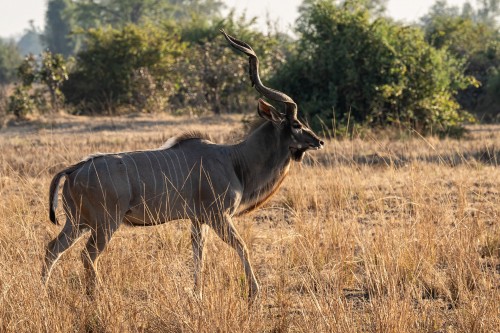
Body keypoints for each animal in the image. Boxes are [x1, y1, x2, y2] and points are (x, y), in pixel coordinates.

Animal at [42, 30, 324, 298]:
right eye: (296, 124)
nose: (318, 141)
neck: (234, 160)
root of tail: (75, 168)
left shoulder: (198, 220)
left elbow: (199, 255)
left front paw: (197, 294)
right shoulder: (218, 216)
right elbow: (241, 246)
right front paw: (254, 292)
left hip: (78, 223)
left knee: (52, 249)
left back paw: (43, 292)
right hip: (104, 224)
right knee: (88, 255)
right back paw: (96, 296)